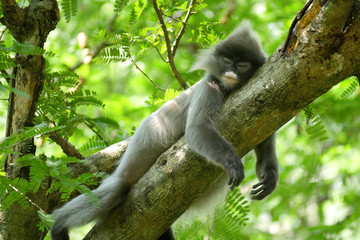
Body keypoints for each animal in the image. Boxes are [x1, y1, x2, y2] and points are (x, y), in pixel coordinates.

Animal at [50, 21, 278, 240]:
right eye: (226, 60)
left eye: (241, 64)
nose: (231, 70)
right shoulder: (210, 85)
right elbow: (196, 130)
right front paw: (232, 163)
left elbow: (264, 135)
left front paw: (269, 176)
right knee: (116, 189)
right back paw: (58, 225)